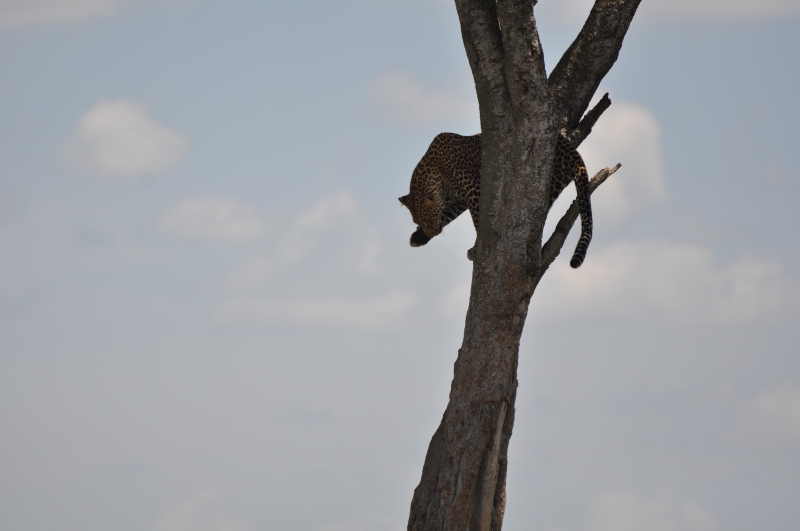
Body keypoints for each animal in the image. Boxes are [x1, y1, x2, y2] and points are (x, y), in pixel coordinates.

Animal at [399, 132, 593, 268]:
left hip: (547, 180)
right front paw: (419, 236)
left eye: (426, 219)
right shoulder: (457, 200)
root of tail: (570, 148)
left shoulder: (474, 190)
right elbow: (446, 214)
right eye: (418, 221)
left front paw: (476, 248)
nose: (432, 234)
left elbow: (478, 221)